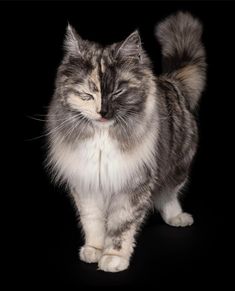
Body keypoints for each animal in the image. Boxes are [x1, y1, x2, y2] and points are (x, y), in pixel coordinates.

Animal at [45, 10, 206, 272]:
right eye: (88, 94)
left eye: (118, 92)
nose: (103, 112)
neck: (102, 139)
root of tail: (170, 81)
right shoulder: (87, 183)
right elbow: (93, 222)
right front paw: (94, 250)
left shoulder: (133, 184)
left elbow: (121, 226)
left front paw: (113, 258)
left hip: (178, 166)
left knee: (169, 194)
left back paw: (177, 218)